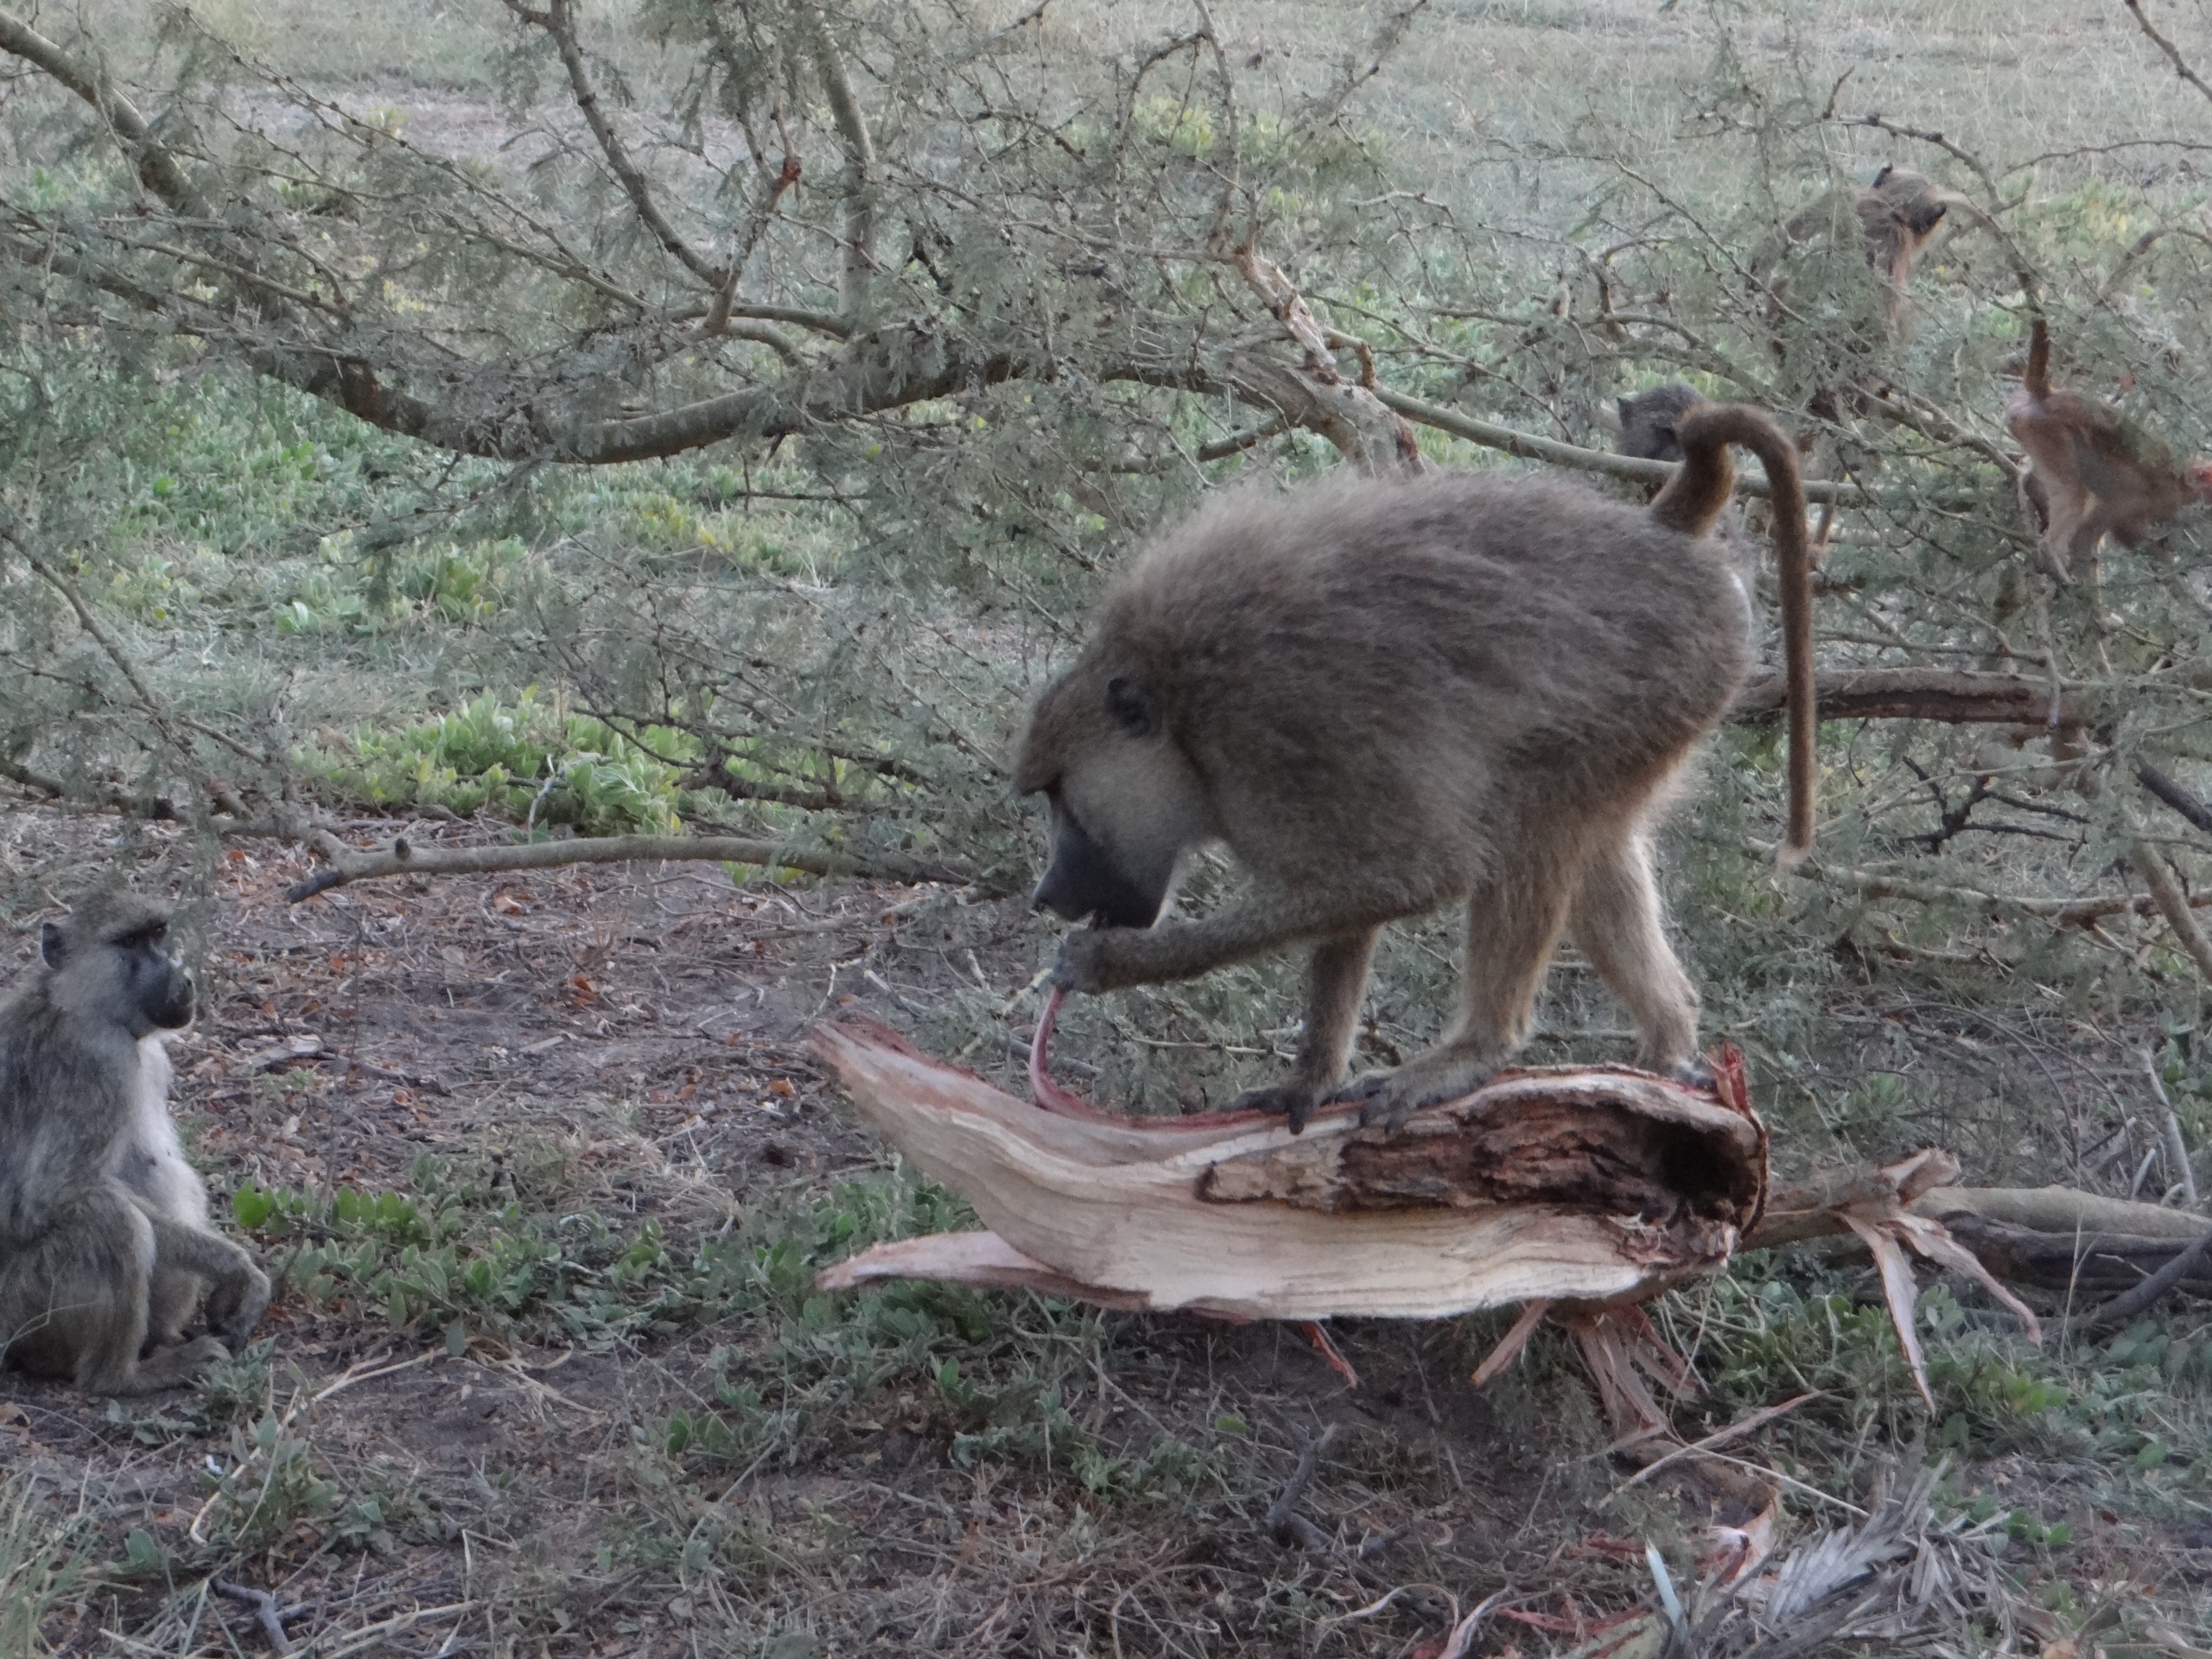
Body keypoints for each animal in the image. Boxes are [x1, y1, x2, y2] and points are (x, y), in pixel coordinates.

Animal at [0, 893, 269, 1393]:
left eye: (158, 934)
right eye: (128, 943)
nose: (183, 978)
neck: (78, 1004)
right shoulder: (97, 1062)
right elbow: (56, 1195)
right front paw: (235, 1267)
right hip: (23, 1308)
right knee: (115, 1221)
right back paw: (127, 1377)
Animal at [1016, 404, 1814, 1133]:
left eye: (1058, 794)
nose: (1046, 894)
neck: (1183, 719)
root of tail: (1661, 532)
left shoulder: (1282, 744)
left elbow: (1417, 874)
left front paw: (1110, 962)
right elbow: (1358, 901)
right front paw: (1307, 1081)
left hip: (1671, 673)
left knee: (1533, 827)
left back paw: (1477, 1051)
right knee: (1594, 847)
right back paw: (1670, 1047)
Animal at [2006, 317, 2212, 584]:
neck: (2181, 481)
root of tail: (2049, 397)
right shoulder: (2146, 497)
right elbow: (2101, 532)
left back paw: (2032, 487)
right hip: (2047, 430)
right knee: (2072, 490)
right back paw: (2051, 552)